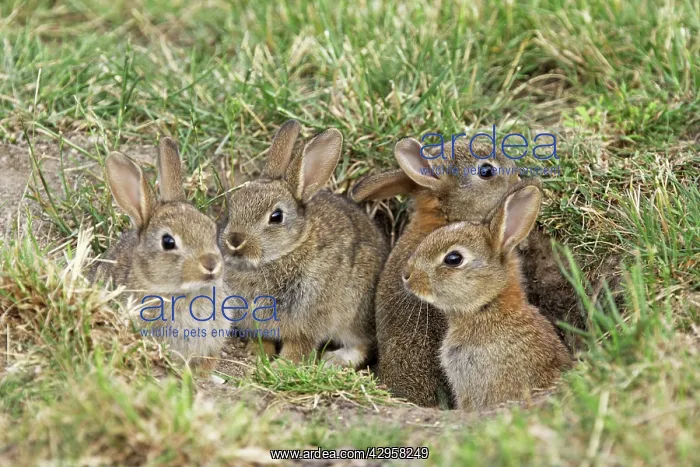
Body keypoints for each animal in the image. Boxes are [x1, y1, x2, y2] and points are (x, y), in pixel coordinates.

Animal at [218, 120, 389, 368]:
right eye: (233, 206)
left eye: (276, 216)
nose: (234, 241)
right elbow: (264, 339)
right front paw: (257, 355)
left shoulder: (307, 319)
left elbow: (299, 346)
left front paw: (281, 366)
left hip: (356, 312)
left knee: (364, 344)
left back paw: (334, 359)